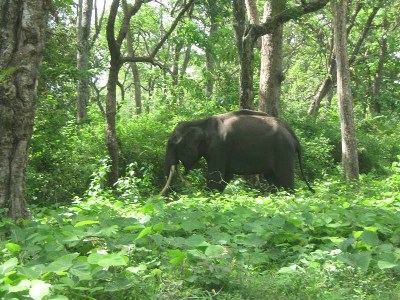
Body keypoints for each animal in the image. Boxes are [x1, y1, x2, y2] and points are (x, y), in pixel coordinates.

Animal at [161, 110, 314, 195]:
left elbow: (216, 176)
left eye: (172, 144)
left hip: (283, 151)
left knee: (285, 180)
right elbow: (225, 177)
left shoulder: (218, 149)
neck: (200, 122)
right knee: (274, 180)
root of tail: (293, 135)